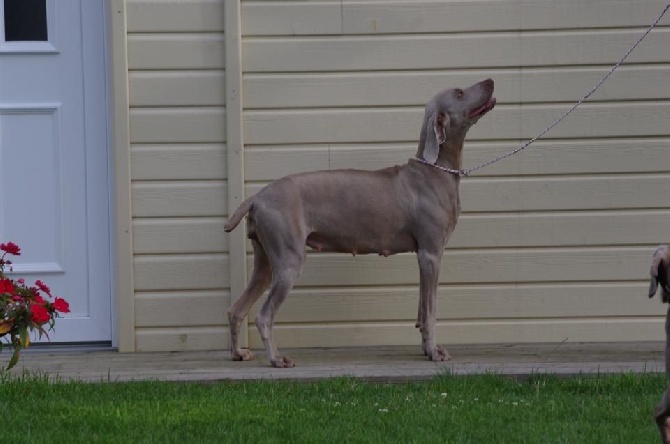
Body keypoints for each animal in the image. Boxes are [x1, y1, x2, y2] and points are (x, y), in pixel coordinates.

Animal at [227, 77, 498, 368]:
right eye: (459, 93)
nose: (491, 80)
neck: (435, 170)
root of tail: (257, 196)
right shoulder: (431, 254)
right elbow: (431, 311)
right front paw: (435, 352)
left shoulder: (423, 257)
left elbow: (422, 310)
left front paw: (427, 348)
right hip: (288, 262)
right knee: (263, 316)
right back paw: (277, 359)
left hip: (265, 262)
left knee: (236, 309)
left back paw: (238, 353)